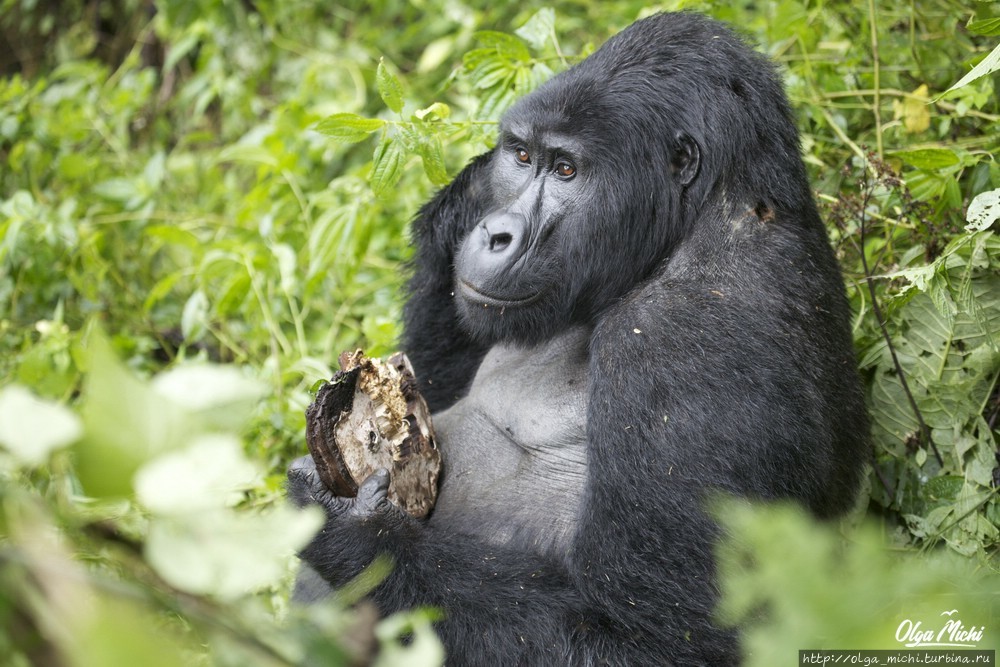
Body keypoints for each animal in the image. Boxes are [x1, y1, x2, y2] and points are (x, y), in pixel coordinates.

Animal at [290, 11, 868, 667]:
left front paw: (352, 532)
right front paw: (463, 198)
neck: (710, 214)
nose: (495, 233)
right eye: (521, 157)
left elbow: (661, 640)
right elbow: (429, 389)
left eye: (566, 170)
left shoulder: (682, 338)